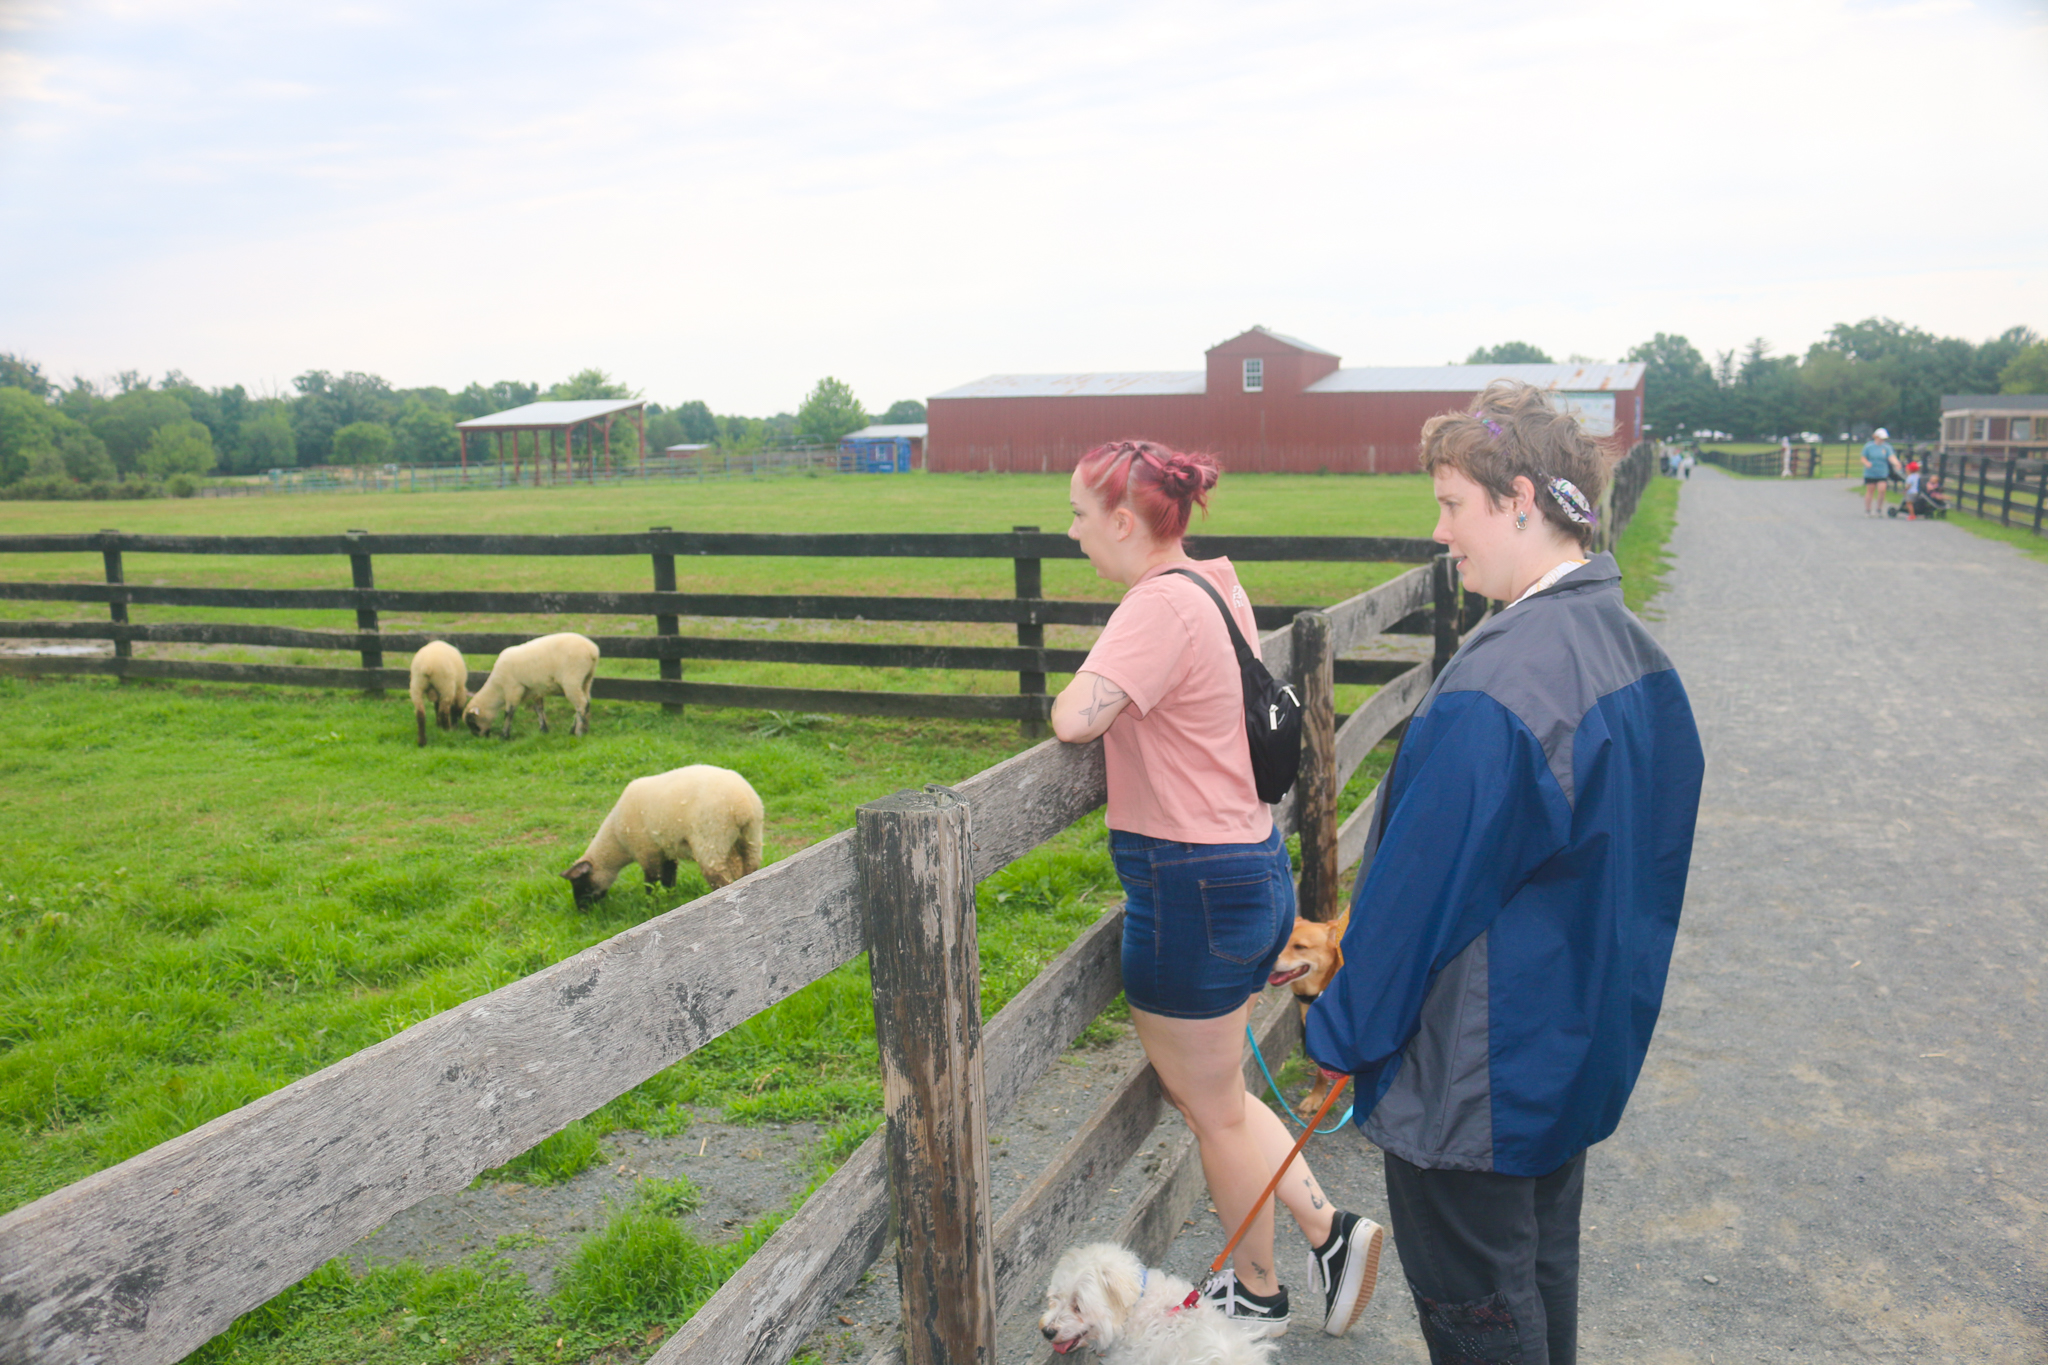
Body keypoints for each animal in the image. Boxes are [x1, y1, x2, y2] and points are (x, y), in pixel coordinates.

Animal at [460, 634, 598, 740]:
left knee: (581, 704)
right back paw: (581, 728)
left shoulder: (513, 689)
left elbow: (509, 713)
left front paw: (504, 736)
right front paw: (543, 730)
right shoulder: (535, 690)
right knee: (586, 703)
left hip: (572, 679)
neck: (498, 687)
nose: (478, 738)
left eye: (471, 721)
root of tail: (592, 650)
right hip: (586, 680)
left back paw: (578, 732)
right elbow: (539, 710)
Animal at [561, 769, 770, 908]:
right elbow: (669, 878)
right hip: (750, 837)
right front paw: (671, 900)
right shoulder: (667, 849)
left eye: (580, 883)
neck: (616, 841)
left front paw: (651, 906)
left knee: (720, 879)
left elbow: (651, 882)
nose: (582, 910)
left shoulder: (647, 851)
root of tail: (744, 805)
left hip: (712, 839)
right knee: (749, 868)